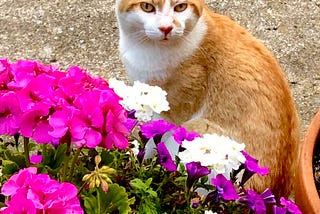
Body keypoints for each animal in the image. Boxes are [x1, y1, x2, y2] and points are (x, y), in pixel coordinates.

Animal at [115, 0, 300, 199]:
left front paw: (139, 162)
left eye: (180, 7)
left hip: (199, 129)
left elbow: (151, 139)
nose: (166, 28)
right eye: (147, 7)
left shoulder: (170, 114)